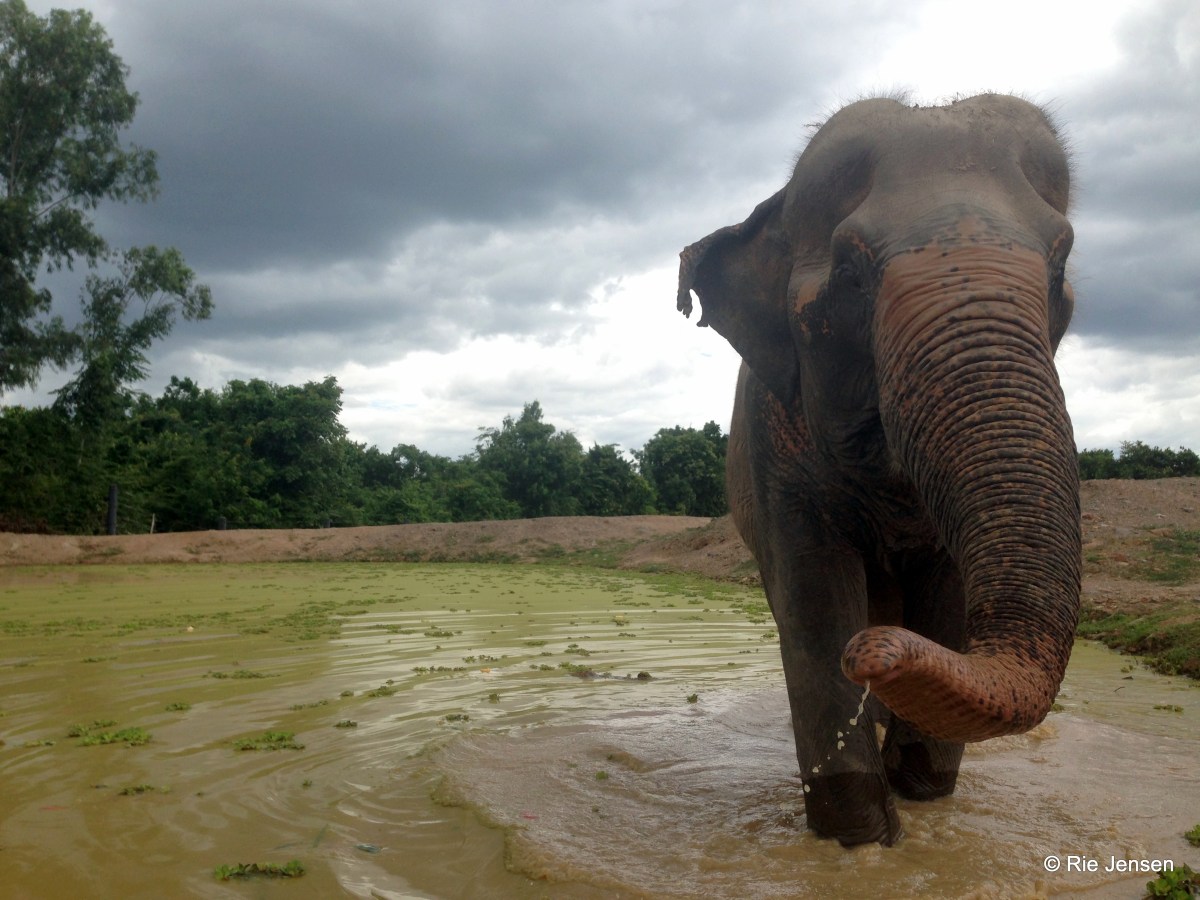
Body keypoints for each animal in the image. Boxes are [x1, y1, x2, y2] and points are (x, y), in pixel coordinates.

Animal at [675, 94, 1080, 846]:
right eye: (852, 272)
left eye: (1060, 265)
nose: (874, 653)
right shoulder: (777, 448)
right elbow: (815, 606)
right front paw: (861, 839)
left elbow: (949, 601)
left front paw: (921, 797)